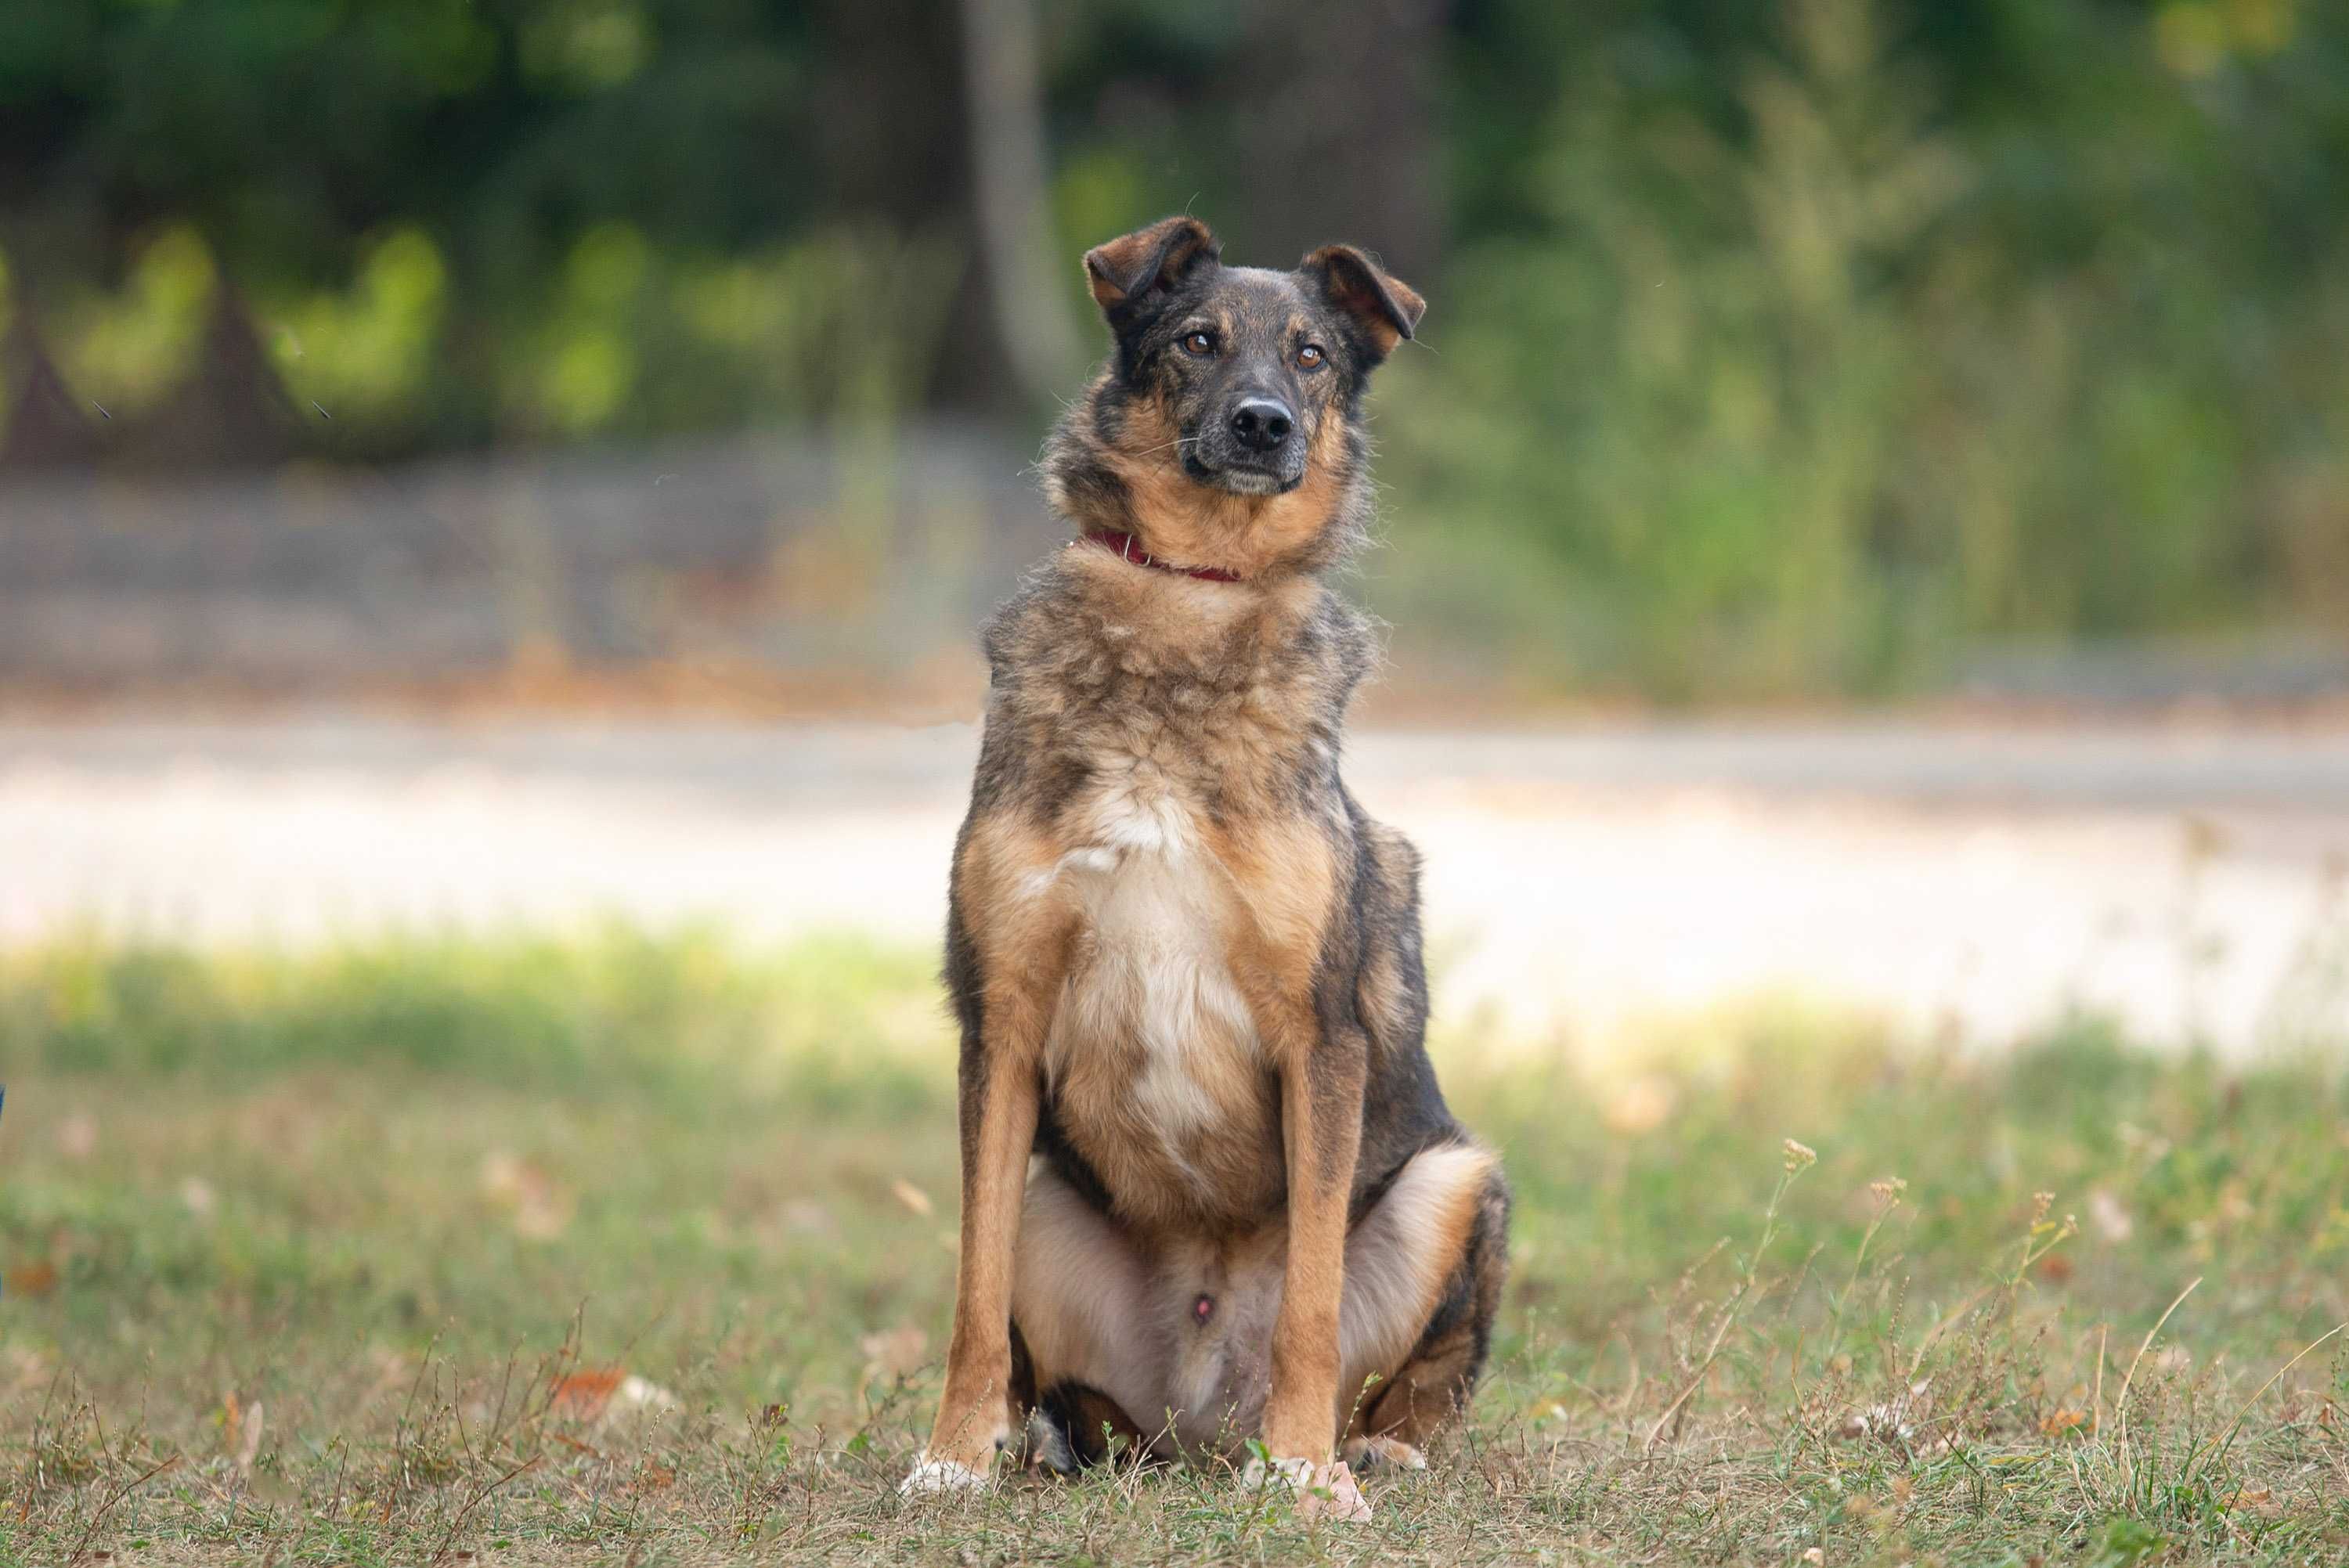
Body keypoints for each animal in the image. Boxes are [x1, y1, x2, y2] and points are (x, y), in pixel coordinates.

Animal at [897, 220, 1503, 1521]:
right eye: (1196, 340)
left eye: (1313, 353)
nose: (1264, 422)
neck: (1193, 592)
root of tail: (1204, 1421)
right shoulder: (1000, 1024)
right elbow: (971, 1293)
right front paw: (953, 1453)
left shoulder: (1320, 1036)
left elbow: (1314, 1301)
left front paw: (1310, 1473)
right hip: (1049, 1194)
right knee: (1066, 1387)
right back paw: (1052, 1441)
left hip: (1458, 1179)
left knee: (1416, 1383)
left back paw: (1362, 1447)